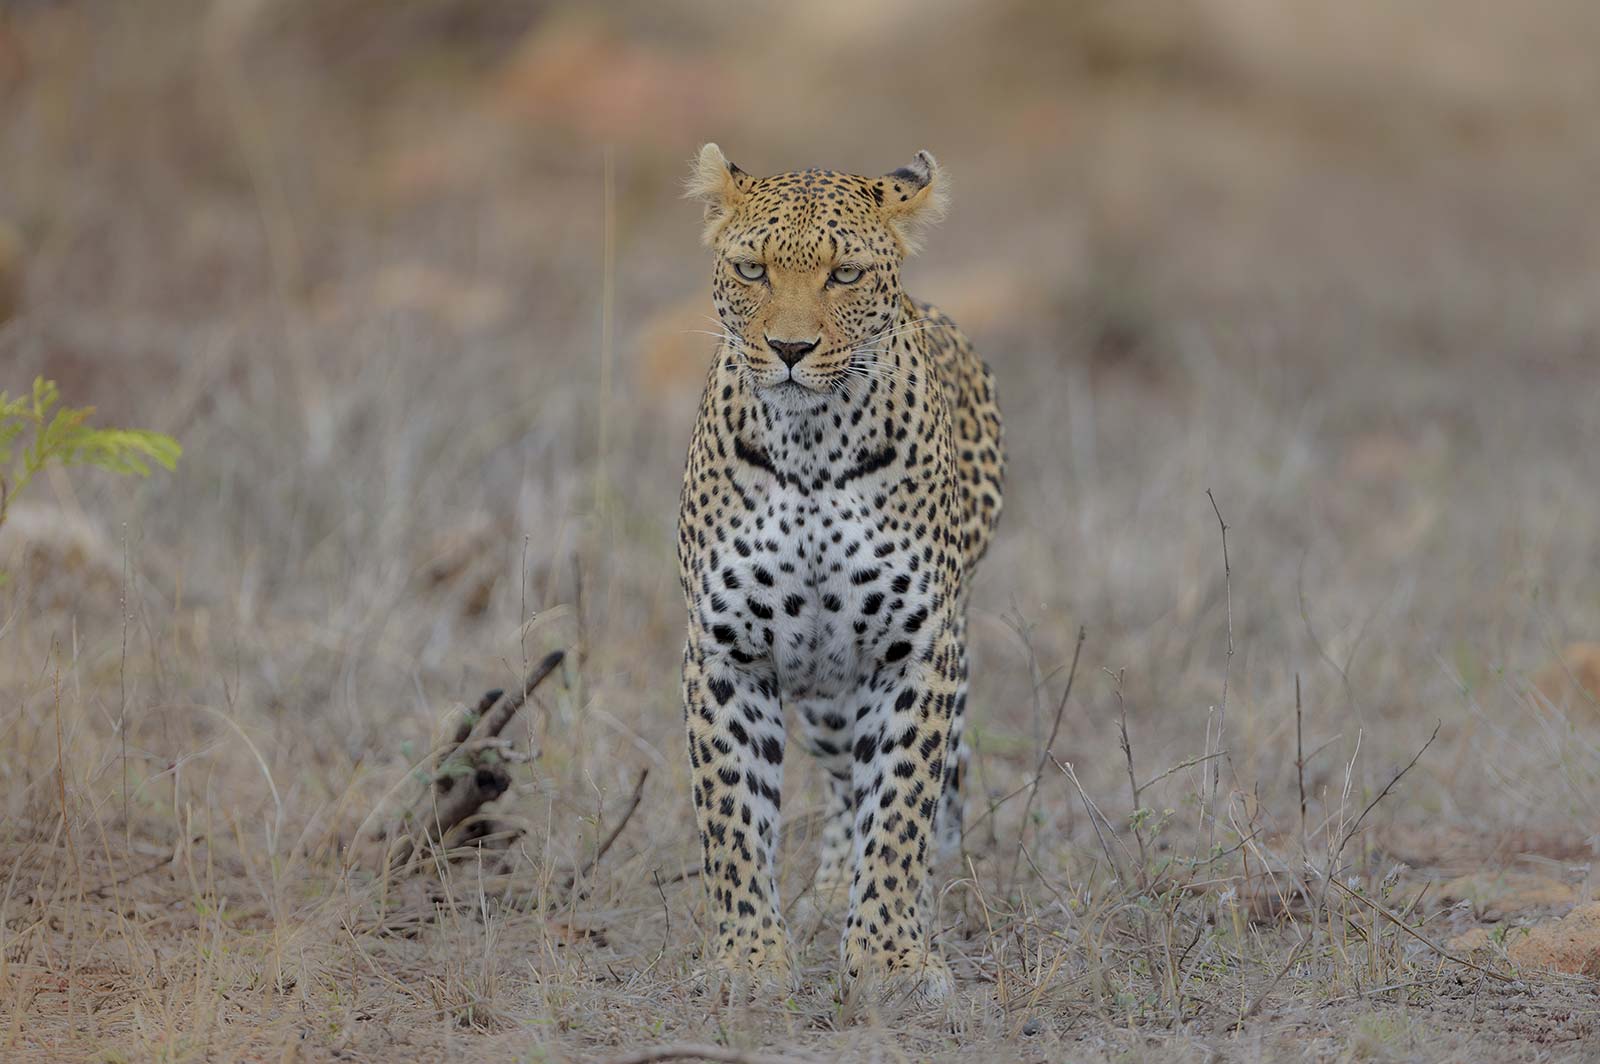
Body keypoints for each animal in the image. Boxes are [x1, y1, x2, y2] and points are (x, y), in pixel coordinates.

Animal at [676, 144, 1005, 1003]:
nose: (790, 351)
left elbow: (901, 809)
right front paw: (748, 958)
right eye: (751, 269)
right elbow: (733, 815)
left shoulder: (916, 655)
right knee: (840, 782)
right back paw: (827, 895)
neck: (813, 449)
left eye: (846, 275)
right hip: (826, 693)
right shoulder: (725, 652)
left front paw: (890, 957)